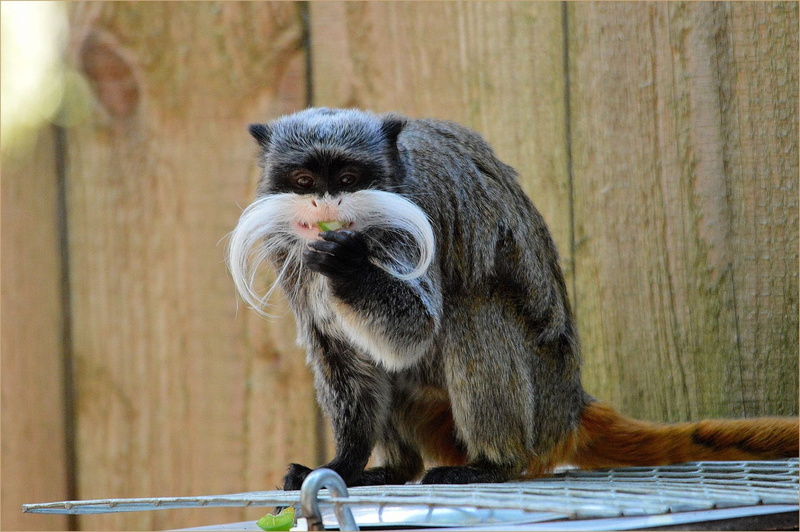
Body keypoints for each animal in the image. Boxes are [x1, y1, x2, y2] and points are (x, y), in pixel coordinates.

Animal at [227, 107, 799, 489]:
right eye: (304, 180)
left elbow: (413, 329)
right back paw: (395, 469)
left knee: (472, 310)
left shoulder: (410, 222)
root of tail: (570, 406)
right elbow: (339, 352)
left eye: (347, 178)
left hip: (538, 405)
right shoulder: (291, 253)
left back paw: (494, 462)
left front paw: (349, 267)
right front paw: (344, 466)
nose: (324, 204)